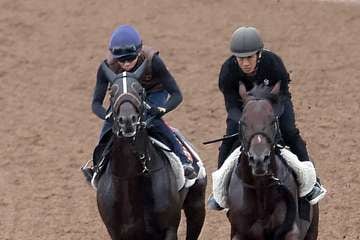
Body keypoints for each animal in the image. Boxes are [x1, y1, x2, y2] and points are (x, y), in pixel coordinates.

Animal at [94, 60, 207, 240]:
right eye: (111, 93)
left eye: (140, 91)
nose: (128, 120)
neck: (131, 179)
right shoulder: (117, 233)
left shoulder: (169, 228)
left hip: (197, 204)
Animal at [226, 83, 320, 239]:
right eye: (243, 122)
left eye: (272, 121)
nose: (259, 159)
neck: (261, 190)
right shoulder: (239, 233)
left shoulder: (291, 230)